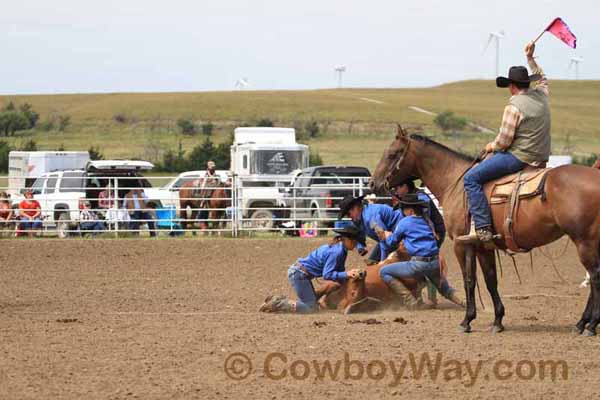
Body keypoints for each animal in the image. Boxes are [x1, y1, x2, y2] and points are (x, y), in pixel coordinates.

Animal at [370, 126, 600, 336]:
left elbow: (469, 281)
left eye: (392, 154)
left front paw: (466, 321)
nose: (373, 183)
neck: (455, 182)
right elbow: (490, 281)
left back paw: (589, 325)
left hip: (584, 241)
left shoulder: (461, 244)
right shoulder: (483, 247)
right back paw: (582, 324)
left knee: (595, 277)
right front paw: (498, 321)